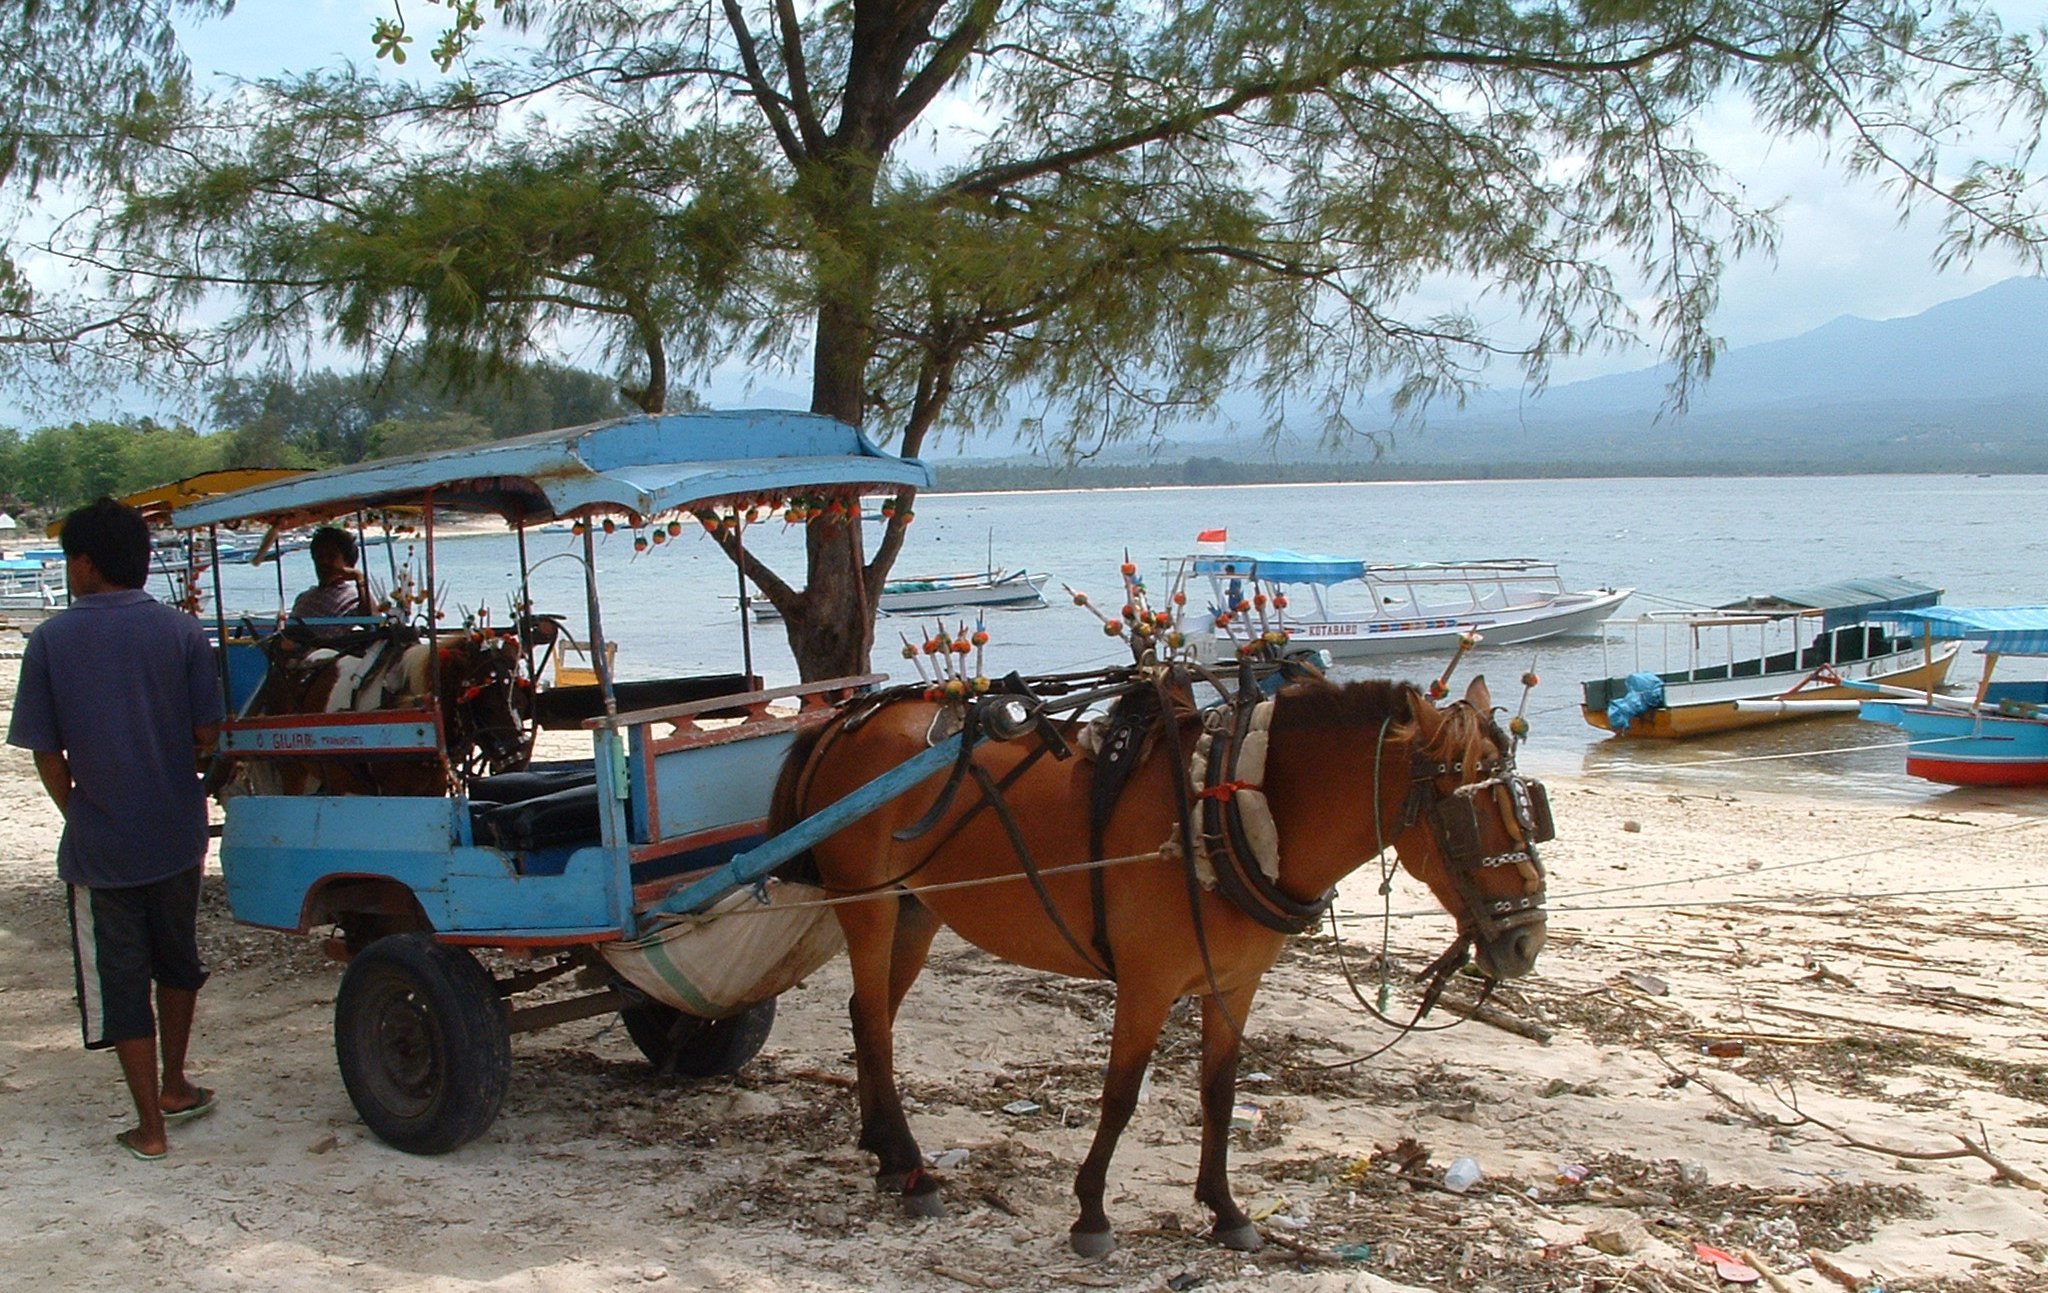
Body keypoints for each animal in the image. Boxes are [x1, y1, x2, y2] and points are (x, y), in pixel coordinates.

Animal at [769, 671, 1549, 1256]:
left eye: (1528, 803)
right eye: (1467, 813)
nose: (1525, 942)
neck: (1229, 810)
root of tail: (845, 722)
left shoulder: (1235, 985)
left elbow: (1220, 1094)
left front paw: (1227, 1209)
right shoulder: (1146, 986)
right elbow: (1121, 1096)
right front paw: (1091, 1212)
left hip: (916, 910)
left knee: (870, 1019)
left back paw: (888, 1152)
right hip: (868, 905)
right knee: (874, 1022)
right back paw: (914, 1171)